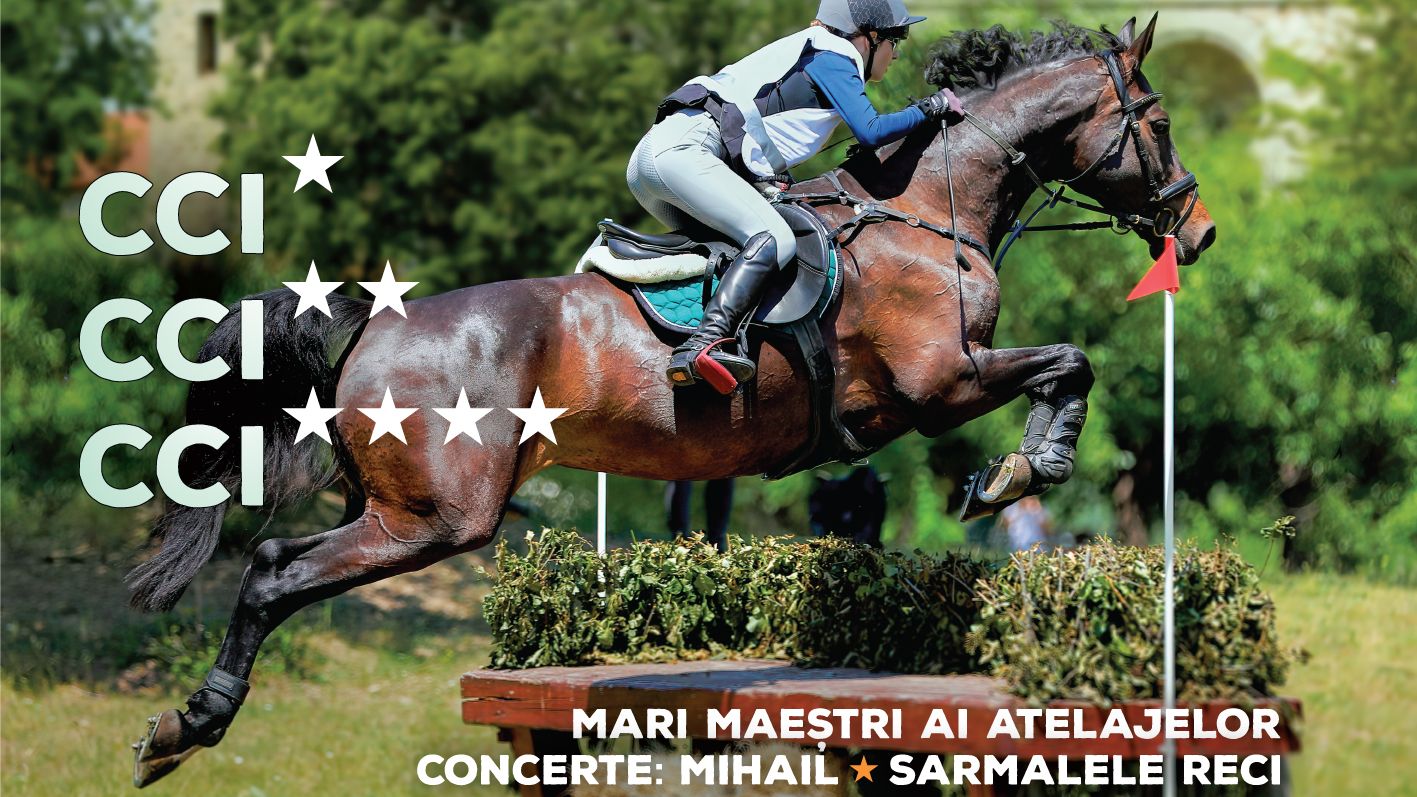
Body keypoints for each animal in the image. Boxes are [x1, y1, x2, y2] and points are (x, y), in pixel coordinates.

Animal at [129, 16, 1213, 785]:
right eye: (1157, 121)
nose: (1197, 230)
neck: (925, 206)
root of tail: (370, 320)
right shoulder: (937, 380)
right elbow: (1070, 361)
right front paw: (1019, 472)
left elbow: (1064, 366)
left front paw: (1018, 468)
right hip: (438, 515)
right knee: (274, 570)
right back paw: (190, 724)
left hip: (397, 506)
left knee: (275, 558)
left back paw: (185, 724)